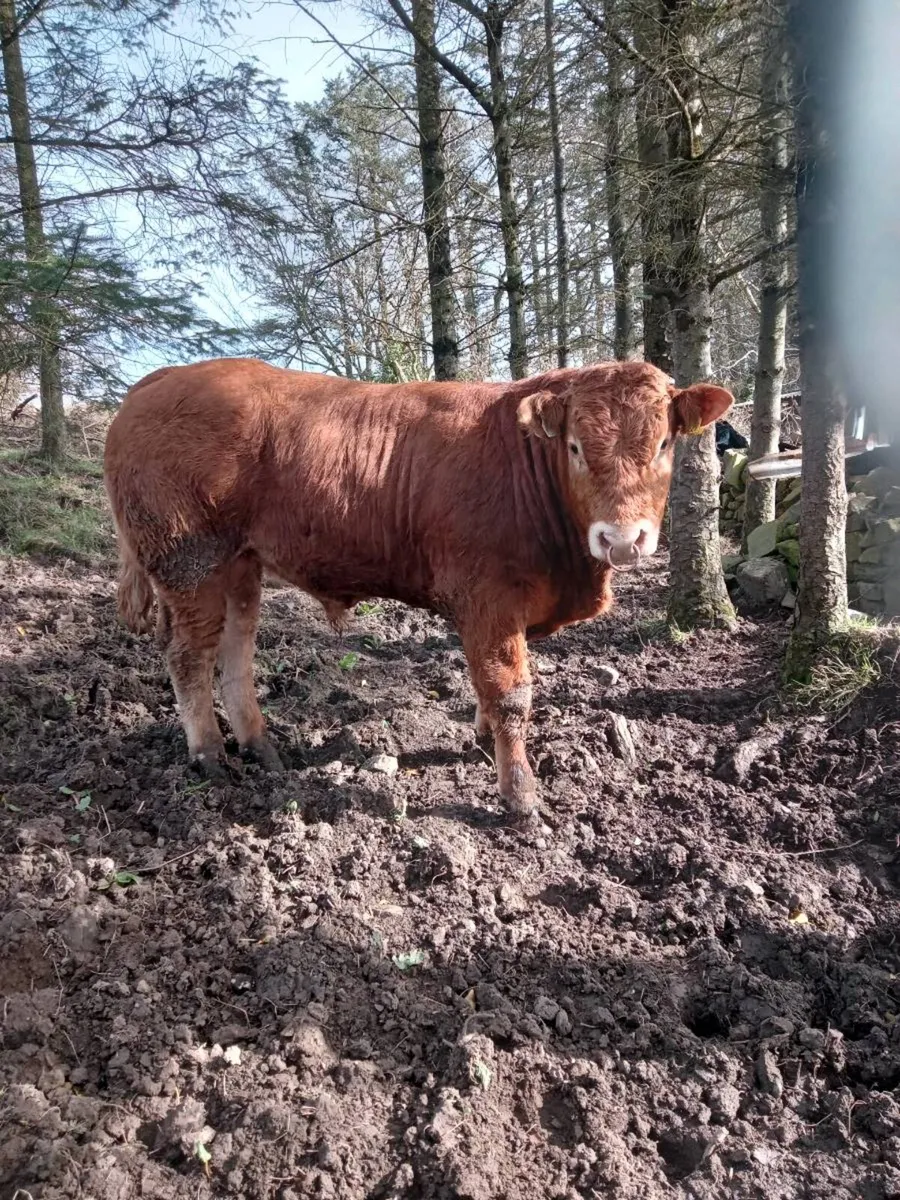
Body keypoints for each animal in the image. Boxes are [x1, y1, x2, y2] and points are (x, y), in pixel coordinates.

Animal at [104, 358, 733, 818]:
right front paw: (520, 795)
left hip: (240, 564)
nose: (622, 539)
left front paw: (483, 742)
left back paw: (260, 747)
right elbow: (511, 692)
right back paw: (210, 754)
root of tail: (159, 381)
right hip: (190, 562)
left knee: (236, 650)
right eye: (576, 447)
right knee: (190, 656)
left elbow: (488, 686)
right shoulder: (487, 598)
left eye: (663, 444)